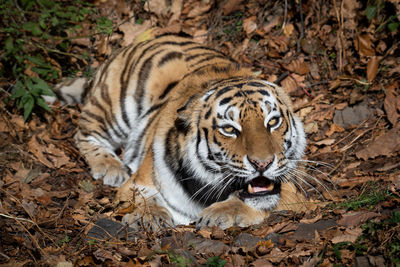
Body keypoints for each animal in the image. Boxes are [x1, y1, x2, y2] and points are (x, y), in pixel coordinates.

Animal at [54, 34, 306, 230]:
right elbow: (145, 200)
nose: (262, 163)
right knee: (84, 133)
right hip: (114, 107)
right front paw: (149, 218)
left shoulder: (294, 192)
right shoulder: (136, 184)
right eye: (229, 129)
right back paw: (110, 167)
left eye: (273, 122)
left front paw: (219, 215)